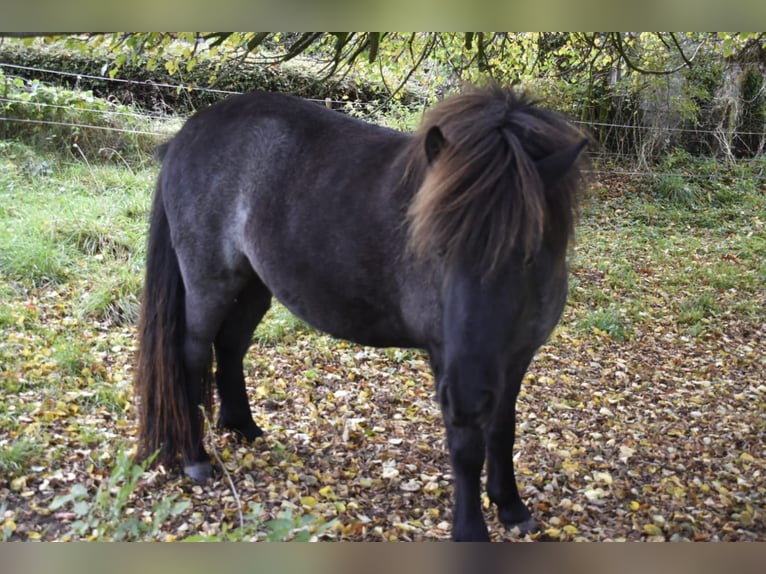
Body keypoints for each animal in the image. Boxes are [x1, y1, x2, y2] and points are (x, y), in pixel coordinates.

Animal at [134, 83, 588, 544]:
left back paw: (244, 426)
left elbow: (502, 429)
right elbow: (466, 446)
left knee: (230, 347)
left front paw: (511, 505)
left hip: (253, 285)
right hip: (209, 284)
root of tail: (189, 132)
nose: (467, 399)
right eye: (437, 249)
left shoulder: (514, 358)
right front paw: (471, 529)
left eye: (526, 255)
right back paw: (195, 457)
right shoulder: (447, 356)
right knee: (192, 355)